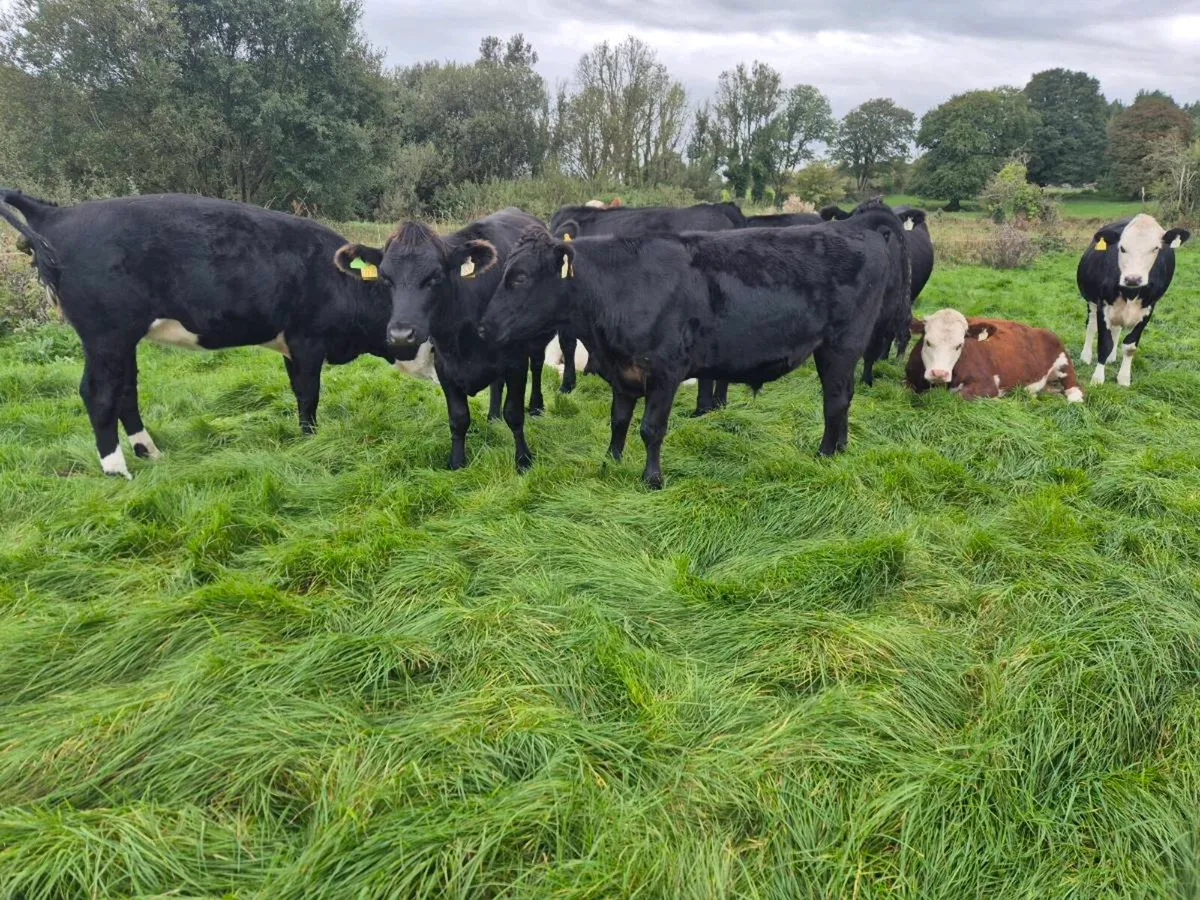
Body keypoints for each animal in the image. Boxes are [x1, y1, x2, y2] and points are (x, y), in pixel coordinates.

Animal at [0, 189, 407, 479]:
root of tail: (55, 212)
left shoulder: (293, 346)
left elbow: (299, 391)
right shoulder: (307, 339)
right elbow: (309, 394)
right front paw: (312, 441)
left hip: (122, 340)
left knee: (126, 390)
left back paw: (150, 452)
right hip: (106, 335)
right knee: (99, 394)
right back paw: (117, 471)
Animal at [333, 208, 550, 472]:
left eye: (434, 277)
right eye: (385, 278)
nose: (401, 334)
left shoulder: (516, 361)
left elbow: (515, 414)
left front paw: (523, 460)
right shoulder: (445, 365)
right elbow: (458, 417)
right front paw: (457, 461)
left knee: (537, 366)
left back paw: (536, 407)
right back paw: (493, 416)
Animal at [478, 222, 893, 488]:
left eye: (520, 277)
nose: (483, 328)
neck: (619, 287)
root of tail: (862, 231)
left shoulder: (665, 370)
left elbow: (651, 428)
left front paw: (651, 479)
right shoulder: (623, 372)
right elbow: (618, 421)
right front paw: (610, 462)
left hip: (841, 344)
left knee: (834, 400)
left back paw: (824, 454)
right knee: (844, 398)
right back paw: (841, 447)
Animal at [907, 309, 1083, 402]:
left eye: (959, 345)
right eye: (928, 342)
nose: (939, 373)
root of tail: (1039, 329)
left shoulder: (987, 384)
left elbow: (958, 396)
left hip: (1063, 363)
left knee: (1075, 387)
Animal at [1076, 214, 1190, 387]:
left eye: (1155, 248)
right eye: (1122, 248)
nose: (1133, 278)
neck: (1130, 292)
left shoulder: (1148, 309)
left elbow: (1130, 346)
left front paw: (1124, 379)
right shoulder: (1103, 305)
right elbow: (1104, 343)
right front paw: (1097, 379)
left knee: (1116, 329)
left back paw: (1111, 358)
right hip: (1092, 302)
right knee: (1091, 326)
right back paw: (1086, 356)